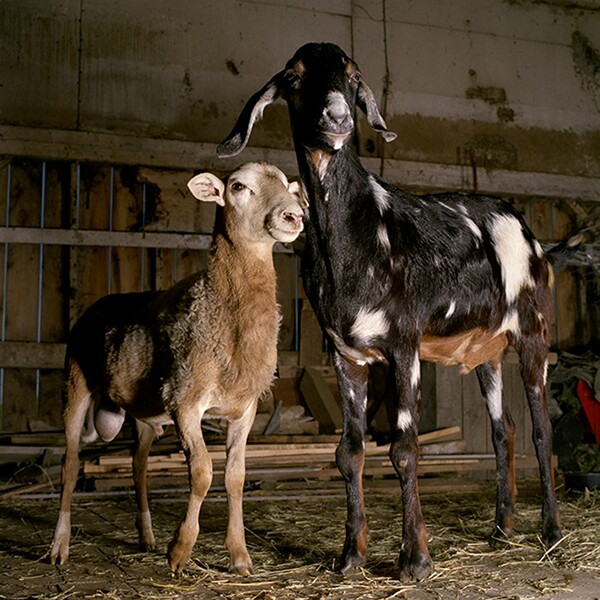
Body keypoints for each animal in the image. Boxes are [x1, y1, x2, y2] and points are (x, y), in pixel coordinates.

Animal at [219, 43, 564, 580]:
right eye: (294, 77)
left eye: (354, 75)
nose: (338, 117)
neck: (359, 236)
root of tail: (529, 236)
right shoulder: (347, 354)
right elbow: (348, 452)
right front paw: (351, 555)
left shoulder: (404, 345)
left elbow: (404, 448)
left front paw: (415, 558)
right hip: (487, 351)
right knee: (502, 429)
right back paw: (502, 528)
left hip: (533, 334)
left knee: (541, 429)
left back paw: (551, 533)